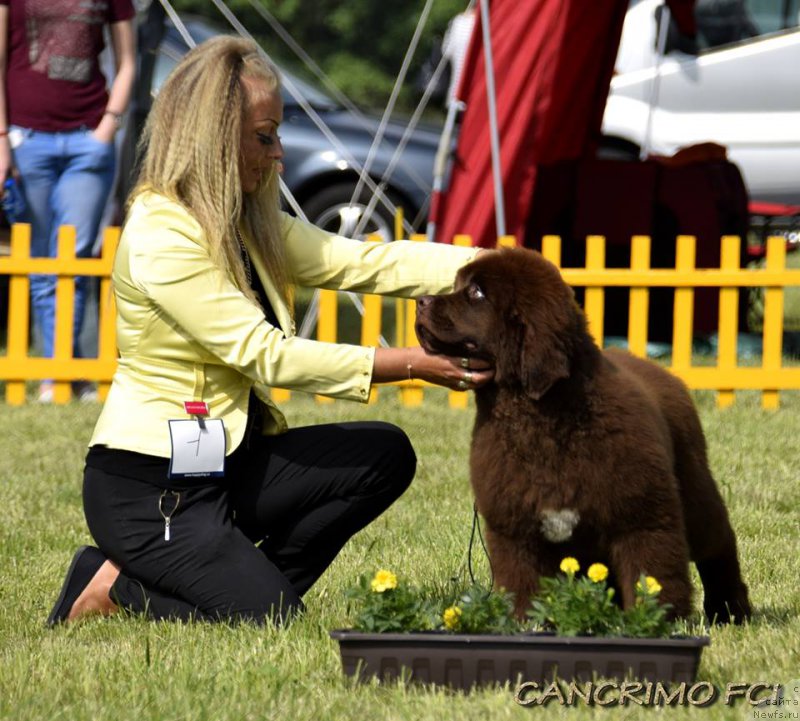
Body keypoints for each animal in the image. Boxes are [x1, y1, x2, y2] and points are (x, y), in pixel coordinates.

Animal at [416, 245, 752, 620]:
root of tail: (664, 372)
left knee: (718, 545)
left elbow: (651, 574)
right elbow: (521, 582)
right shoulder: (514, 530)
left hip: (693, 493)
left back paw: (731, 609)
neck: (541, 423)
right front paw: (524, 622)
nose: (421, 301)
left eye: (476, 293)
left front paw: (653, 621)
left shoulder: (640, 518)